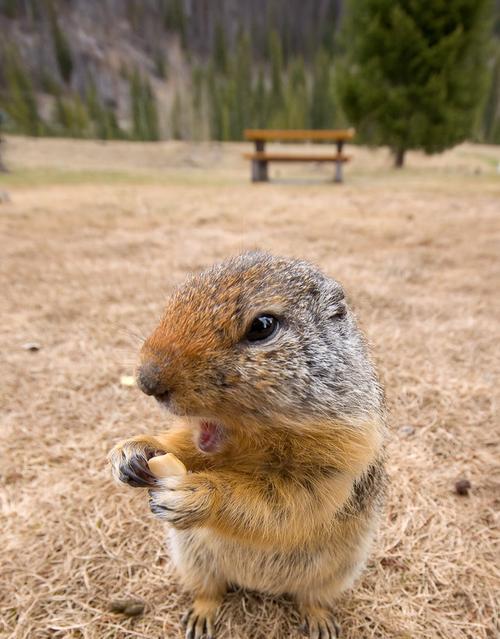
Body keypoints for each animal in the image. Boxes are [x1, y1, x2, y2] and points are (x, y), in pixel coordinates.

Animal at [110, 252, 386, 636]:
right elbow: (182, 444)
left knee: (311, 597)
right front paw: (134, 450)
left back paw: (319, 620)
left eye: (263, 326)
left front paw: (198, 494)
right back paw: (201, 615)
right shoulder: (198, 437)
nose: (146, 381)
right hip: (194, 561)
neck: (255, 431)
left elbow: (289, 501)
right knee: (209, 590)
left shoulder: (342, 456)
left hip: (336, 573)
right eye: (179, 294)